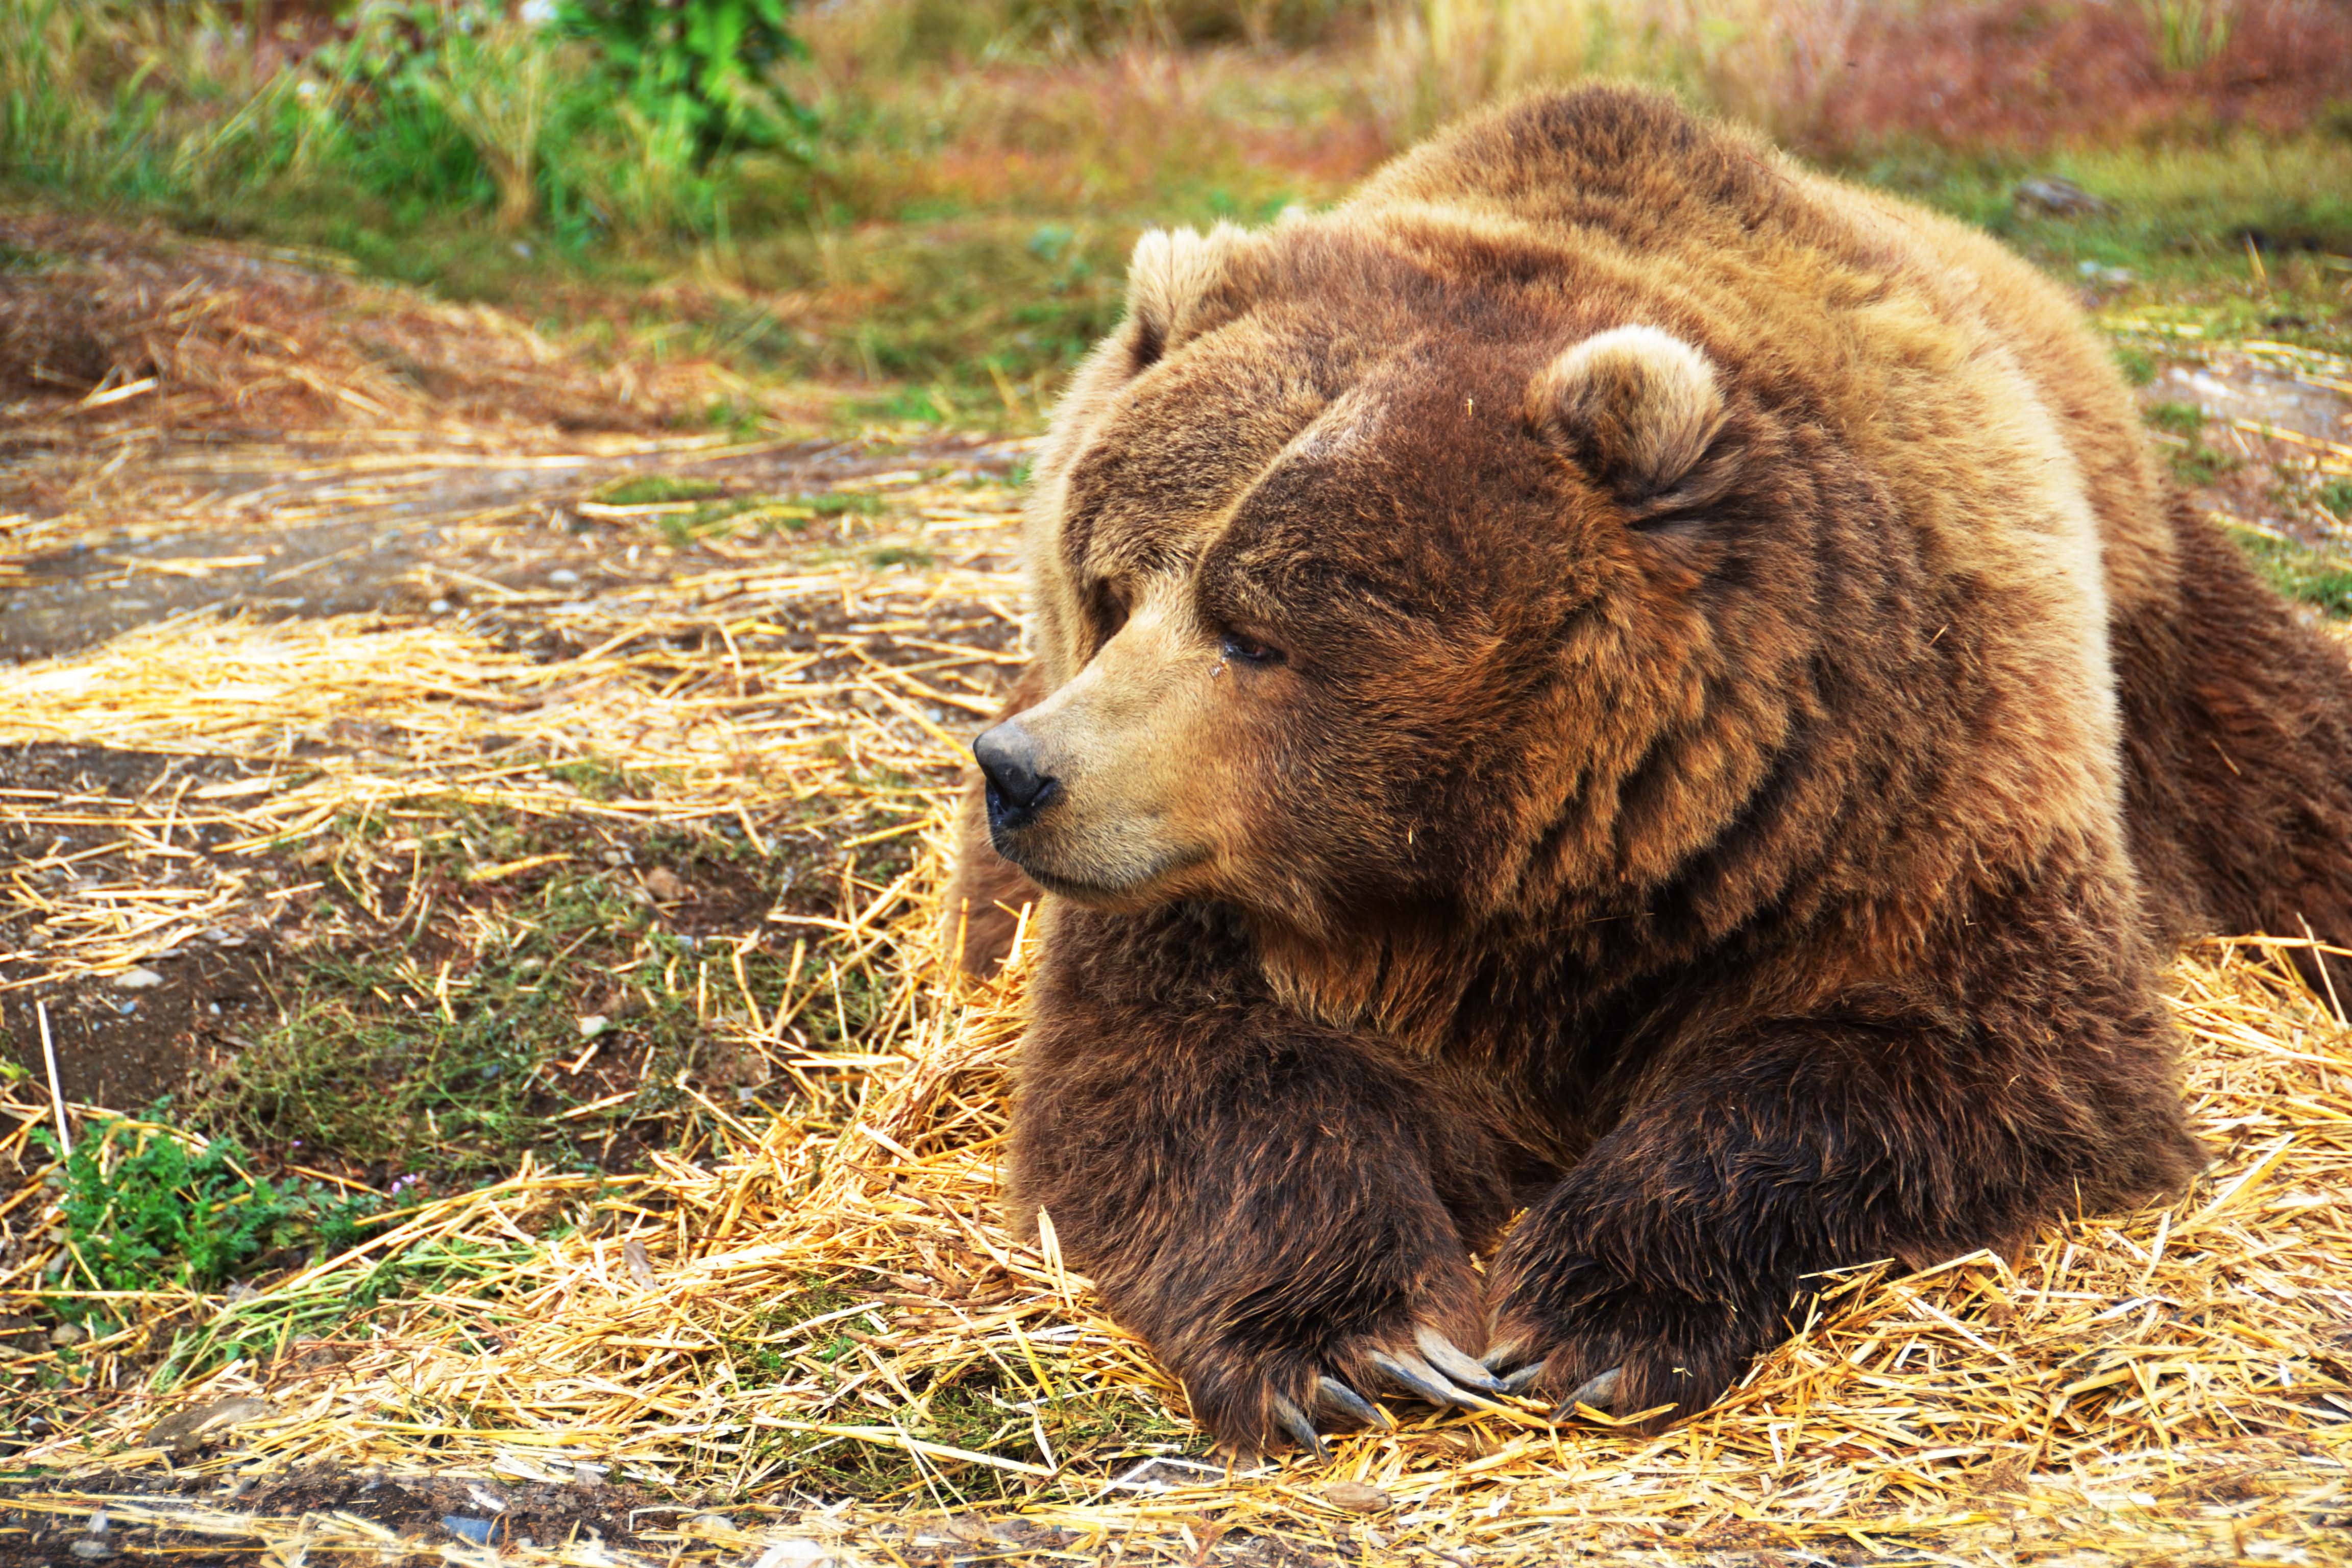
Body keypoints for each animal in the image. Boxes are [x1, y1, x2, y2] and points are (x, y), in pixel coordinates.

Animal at [945, 88, 2352, 1457]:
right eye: (1116, 584)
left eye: (1255, 631)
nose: (1026, 775)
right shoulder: (1205, 899)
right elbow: (1187, 1077)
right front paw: (1360, 1340)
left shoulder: (1896, 790)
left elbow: (1951, 1049)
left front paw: (1592, 1317)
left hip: (2164, 635)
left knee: (2290, 772)